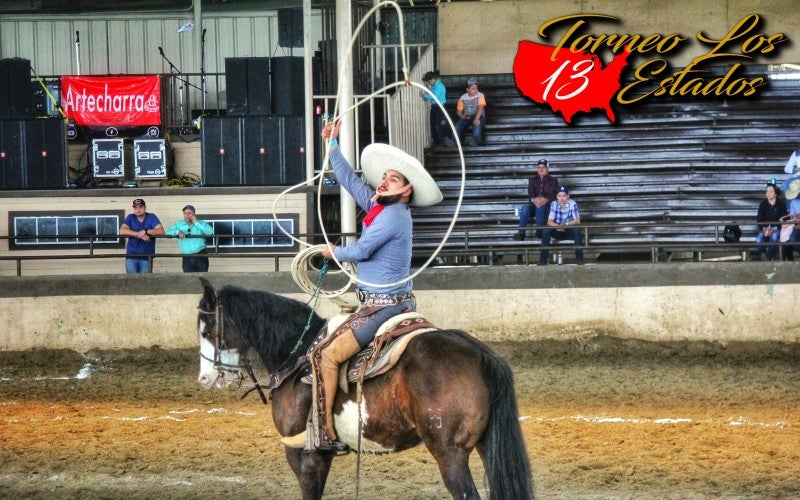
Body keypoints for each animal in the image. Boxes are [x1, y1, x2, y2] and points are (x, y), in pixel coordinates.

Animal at [195, 280, 532, 498]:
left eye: (206, 330)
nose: (205, 379)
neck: (297, 354)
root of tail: (480, 353)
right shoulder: (323, 456)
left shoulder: (304, 457)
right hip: (486, 445)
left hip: (450, 453)